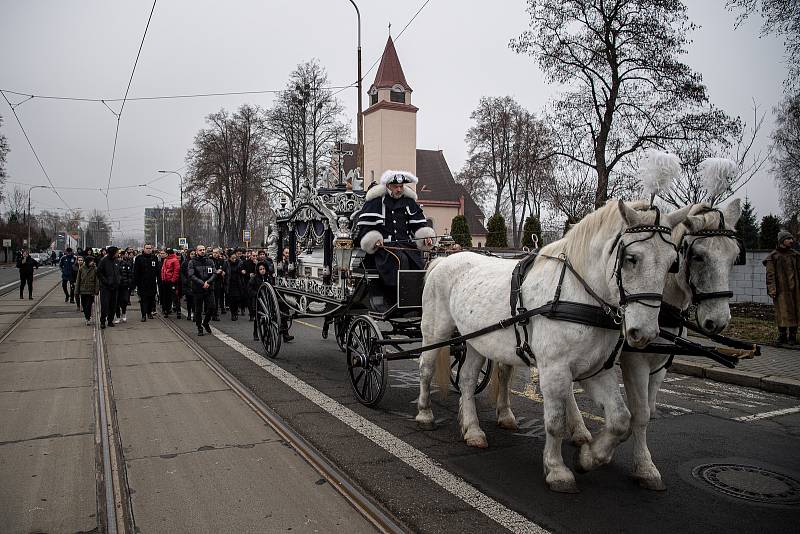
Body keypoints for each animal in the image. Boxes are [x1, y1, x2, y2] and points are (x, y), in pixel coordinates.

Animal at [416, 201, 692, 494]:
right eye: (632, 258)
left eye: (672, 264)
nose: (645, 333)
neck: (577, 294)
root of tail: (443, 259)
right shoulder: (554, 370)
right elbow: (555, 421)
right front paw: (557, 470)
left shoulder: (597, 371)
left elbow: (620, 419)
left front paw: (589, 457)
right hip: (436, 330)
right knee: (426, 368)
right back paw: (425, 413)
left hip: (478, 341)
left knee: (467, 380)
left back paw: (473, 430)